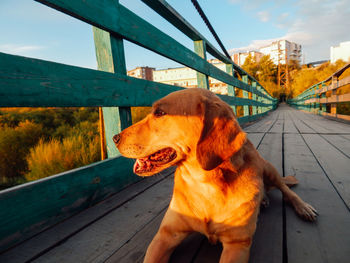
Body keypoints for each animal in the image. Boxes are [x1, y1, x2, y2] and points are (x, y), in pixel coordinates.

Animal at [113, 89, 318, 263]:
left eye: (160, 113)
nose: (115, 138)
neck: (204, 184)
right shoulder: (165, 236)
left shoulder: (237, 245)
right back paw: (264, 200)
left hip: (269, 169)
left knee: (285, 189)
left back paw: (303, 207)